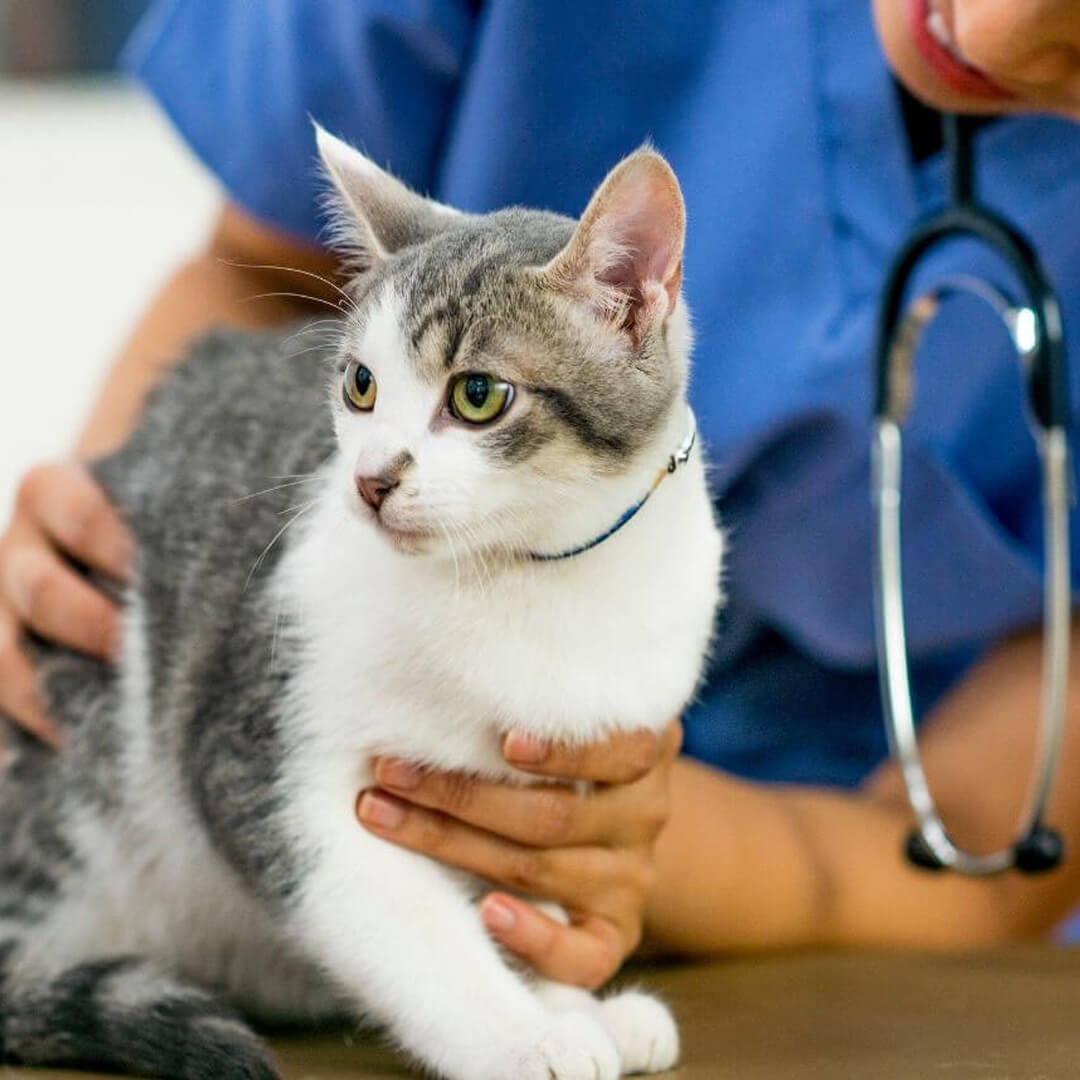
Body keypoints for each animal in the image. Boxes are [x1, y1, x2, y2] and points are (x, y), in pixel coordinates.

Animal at [2, 128, 725, 1080]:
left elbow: (532, 906)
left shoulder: (556, 781)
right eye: (360, 386)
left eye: (478, 395)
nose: (371, 479)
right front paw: (525, 1035)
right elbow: (404, 924)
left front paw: (570, 1001)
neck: (525, 578)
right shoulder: (263, 759)